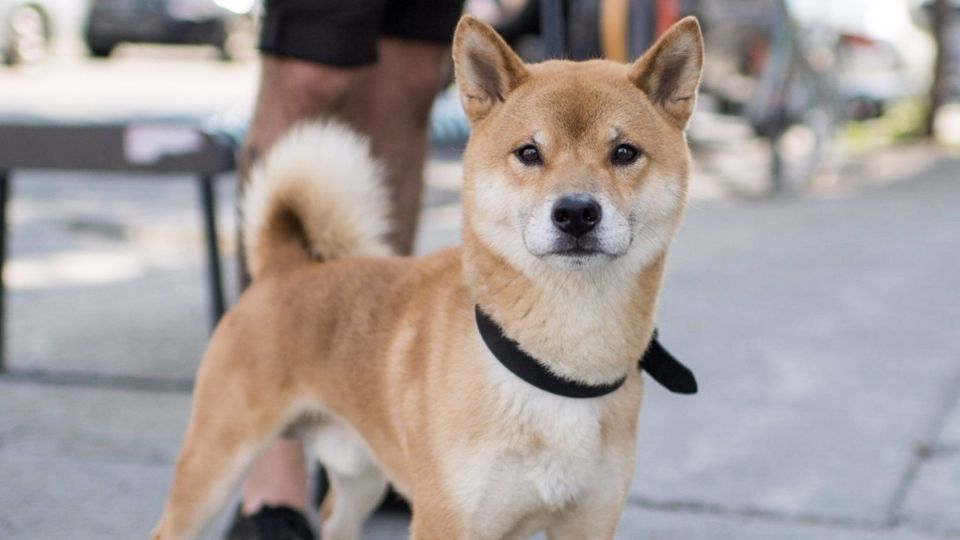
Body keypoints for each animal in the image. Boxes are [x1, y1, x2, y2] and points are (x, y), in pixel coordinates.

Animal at [152, 13, 704, 540]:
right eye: (529, 153)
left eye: (624, 152)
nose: (575, 213)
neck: (558, 373)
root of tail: (284, 265)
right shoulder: (447, 521)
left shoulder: (588, 521)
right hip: (213, 468)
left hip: (358, 477)